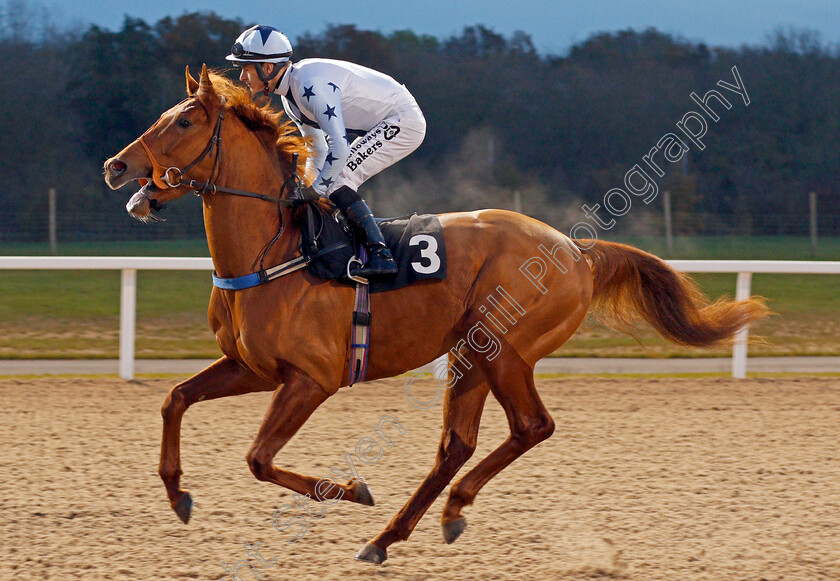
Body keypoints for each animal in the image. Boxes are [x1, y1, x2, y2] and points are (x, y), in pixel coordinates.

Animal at [103, 65, 768, 564]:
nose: (118, 167)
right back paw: (396, 534)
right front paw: (177, 493)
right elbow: (175, 400)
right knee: (457, 443)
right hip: (469, 352)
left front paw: (352, 488)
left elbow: (259, 459)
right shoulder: (251, 367)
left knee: (530, 427)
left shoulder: (310, 379)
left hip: (503, 348)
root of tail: (575, 250)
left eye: (184, 120)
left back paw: (436, 513)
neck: (277, 250)